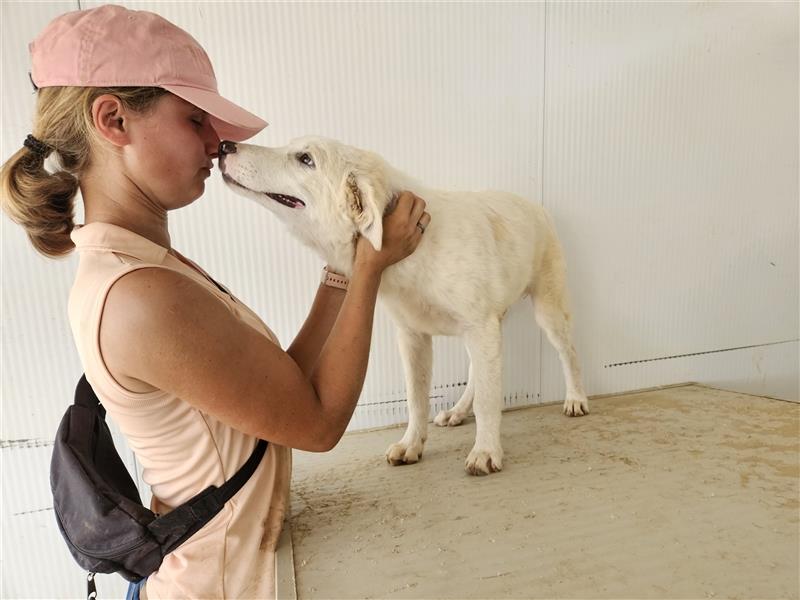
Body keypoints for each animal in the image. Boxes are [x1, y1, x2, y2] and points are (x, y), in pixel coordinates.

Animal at [219, 137, 588, 478]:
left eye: (305, 159)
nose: (224, 146)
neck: (419, 252)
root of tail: (535, 204)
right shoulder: (413, 337)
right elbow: (416, 398)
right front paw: (412, 445)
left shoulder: (480, 329)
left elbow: (487, 401)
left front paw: (485, 452)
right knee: (475, 374)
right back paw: (457, 412)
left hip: (547, 310)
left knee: (567, 352)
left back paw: (576, 399)